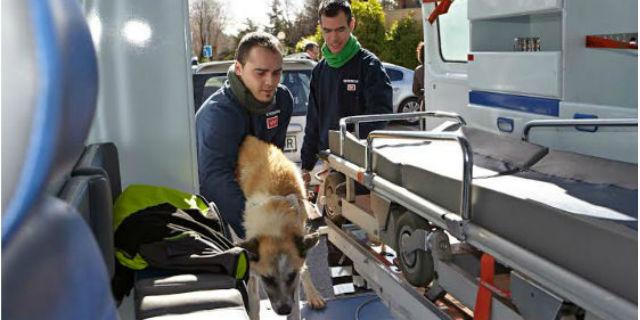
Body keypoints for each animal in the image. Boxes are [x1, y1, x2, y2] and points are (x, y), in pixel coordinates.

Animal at [235, 136, 324, 320]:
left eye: (291, 276)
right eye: (268, 279)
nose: (284, 310)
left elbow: (300, 277)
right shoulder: (252, 271)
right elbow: (254, 303)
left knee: (305, 268)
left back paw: (313, 295)